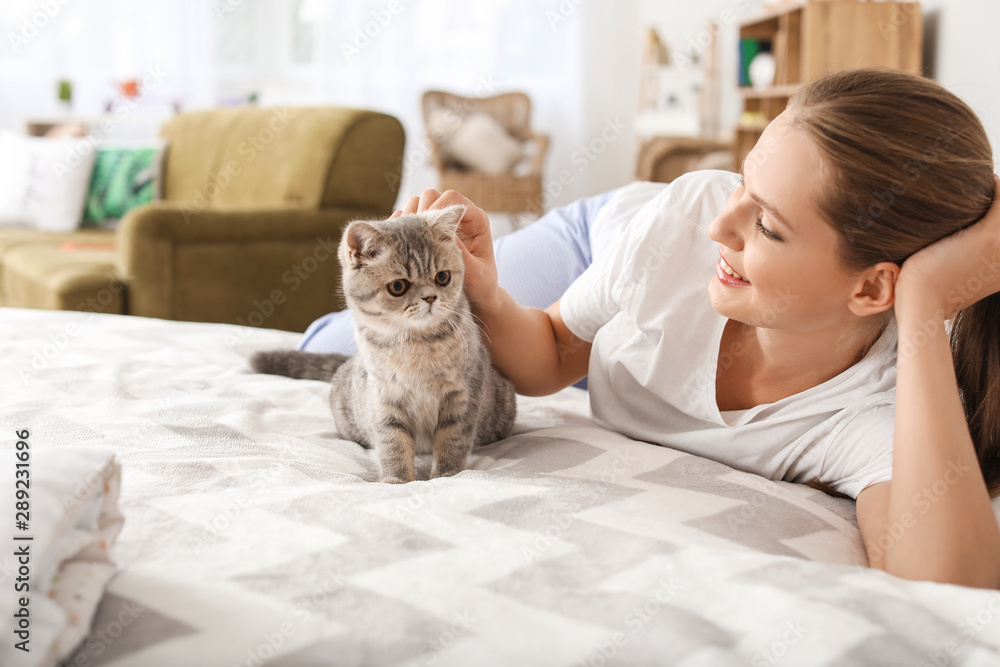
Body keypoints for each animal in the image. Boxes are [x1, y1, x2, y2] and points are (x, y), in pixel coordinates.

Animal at [250, 206, 516, 482]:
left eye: (442, 277)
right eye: (398, 286)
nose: (431, 297)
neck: (416, 343)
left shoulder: (462, 396)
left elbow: (453, 440)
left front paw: (446, 475)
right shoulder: (384, 398)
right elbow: (392, 443)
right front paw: (396, 480)